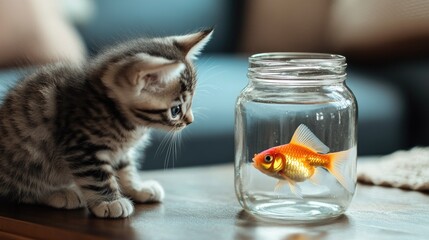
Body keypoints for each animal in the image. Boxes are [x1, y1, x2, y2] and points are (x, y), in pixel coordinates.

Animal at [0, 28, 213, 218]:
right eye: (175, 110)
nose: (190, 121)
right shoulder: (80, 145)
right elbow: (98, 175)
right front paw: (110, 202)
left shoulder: (121, 151)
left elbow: (124, 167)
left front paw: (137, 188)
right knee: (20, 190)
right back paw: (59, 193)